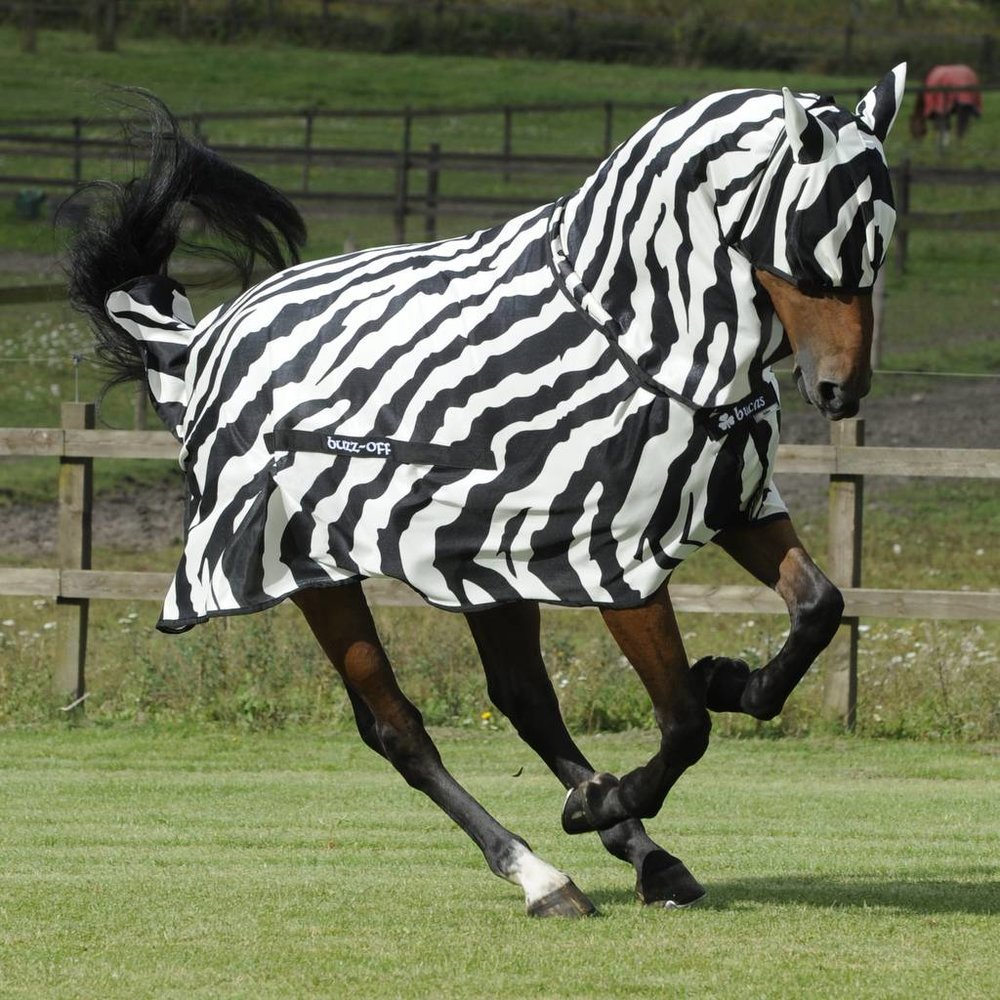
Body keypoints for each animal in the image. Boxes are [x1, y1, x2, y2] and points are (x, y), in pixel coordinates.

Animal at [69, 66, 905, 917]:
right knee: (399, 729)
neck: (636, 339)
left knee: (524, 699)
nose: (841, 390)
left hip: (481, 566)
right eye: (813, 241)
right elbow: (683, 723)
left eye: (879, 244)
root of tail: (201, 344)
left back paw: (639, 851)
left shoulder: (734, 505)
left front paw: (729, 684)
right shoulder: (619, 558)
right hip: (313, 574)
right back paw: (543, 872)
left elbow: (818, 608)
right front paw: (610, 791)